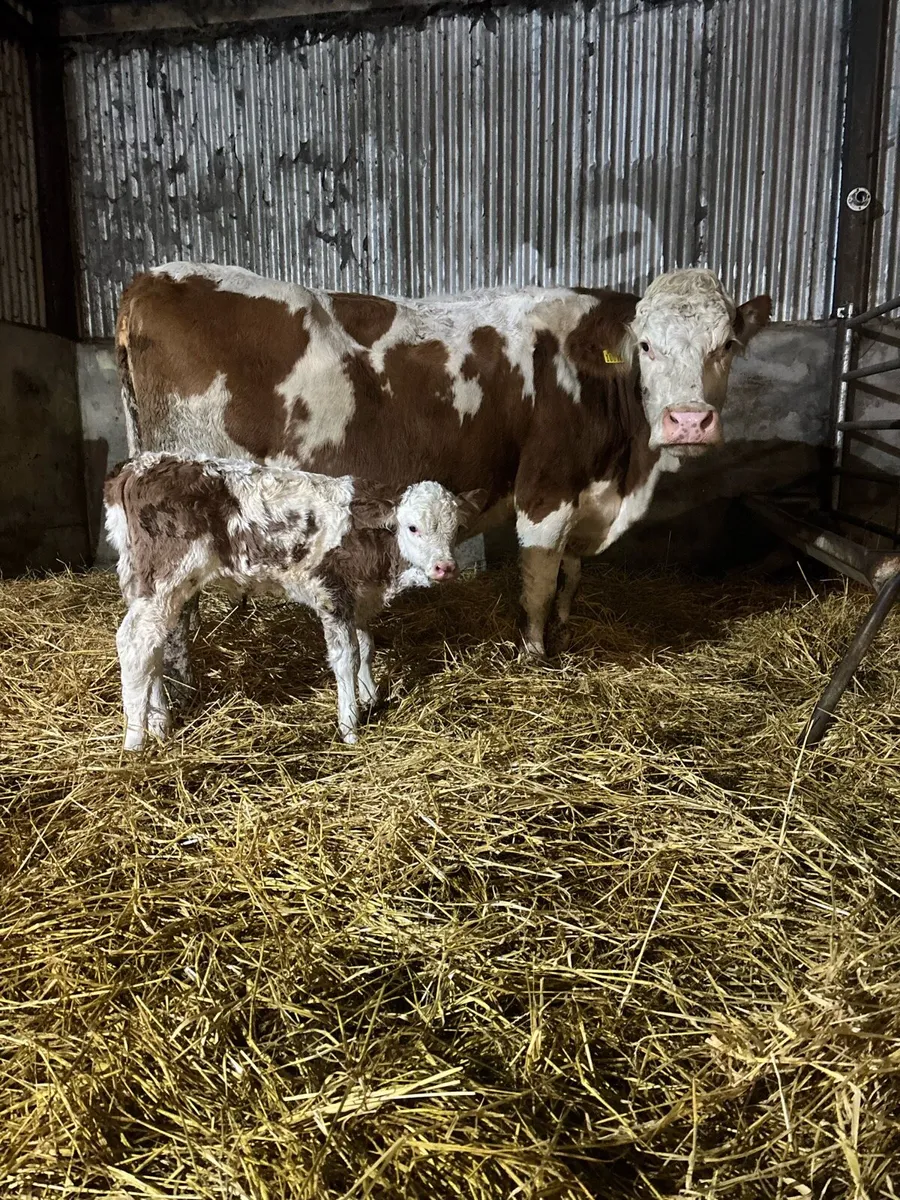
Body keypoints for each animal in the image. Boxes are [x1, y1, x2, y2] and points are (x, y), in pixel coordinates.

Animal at [104, 452, 483, 747]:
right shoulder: (332, 595)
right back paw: (135, 740)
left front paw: (371, 695)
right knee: (134, 642)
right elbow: (346, 657)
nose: (445, 567)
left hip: (151, 585)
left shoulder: (359, 600)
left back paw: (159, 723)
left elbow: (367, 646)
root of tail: (138, 465)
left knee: (153, 646)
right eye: (412, 527)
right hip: (166, 577)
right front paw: (350, 725)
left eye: (455, 529)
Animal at [116, 263, 771, 683]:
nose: (689, 420)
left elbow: (571, 578)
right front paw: (534, 657)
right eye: (648, 346)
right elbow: (539, 580)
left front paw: (564, 630)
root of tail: (151, 279)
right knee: (171, 614)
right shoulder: (547, 489)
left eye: (728, 345)